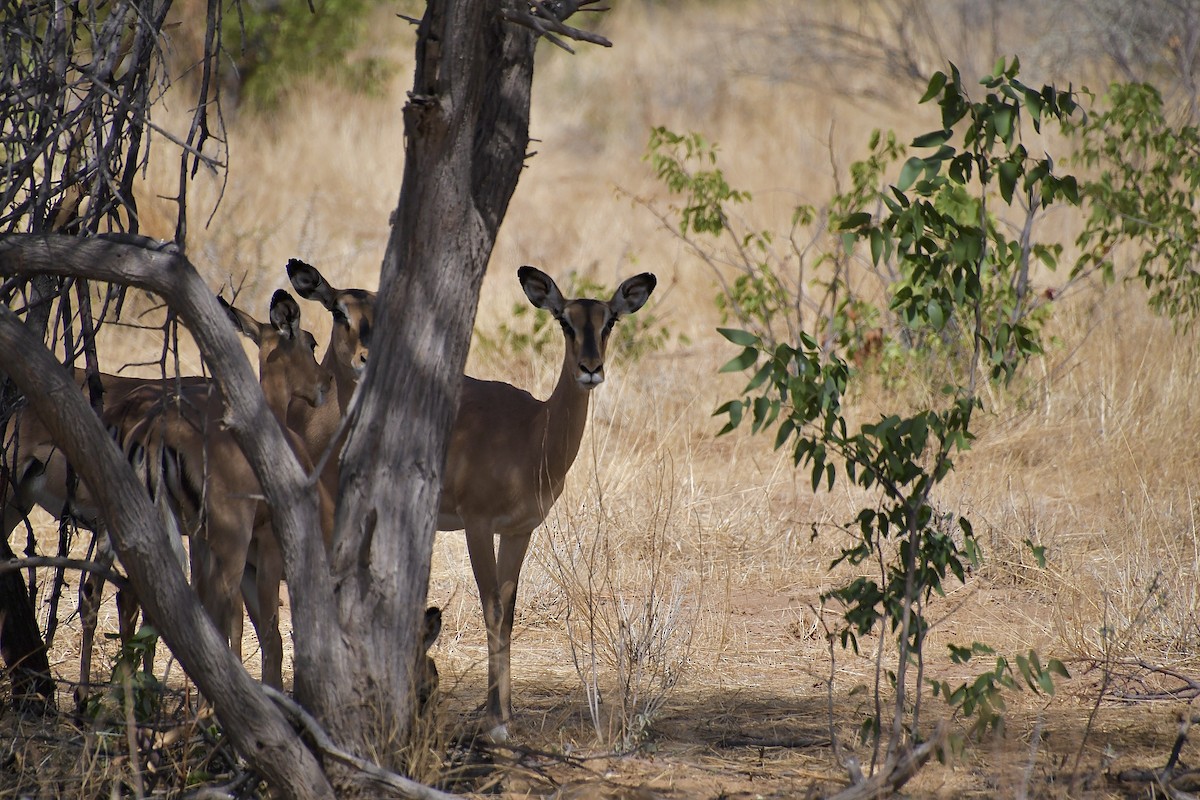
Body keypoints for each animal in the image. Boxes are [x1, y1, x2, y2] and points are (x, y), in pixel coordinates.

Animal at [288, 262, 656, 741]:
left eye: (609, 320)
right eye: (564, 321)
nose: (590, 369)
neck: (532, 434)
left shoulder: (519, 530)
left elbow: (509, 612)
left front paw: (506, 713)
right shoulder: (477, 525)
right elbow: (492, 608)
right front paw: (496, 721)